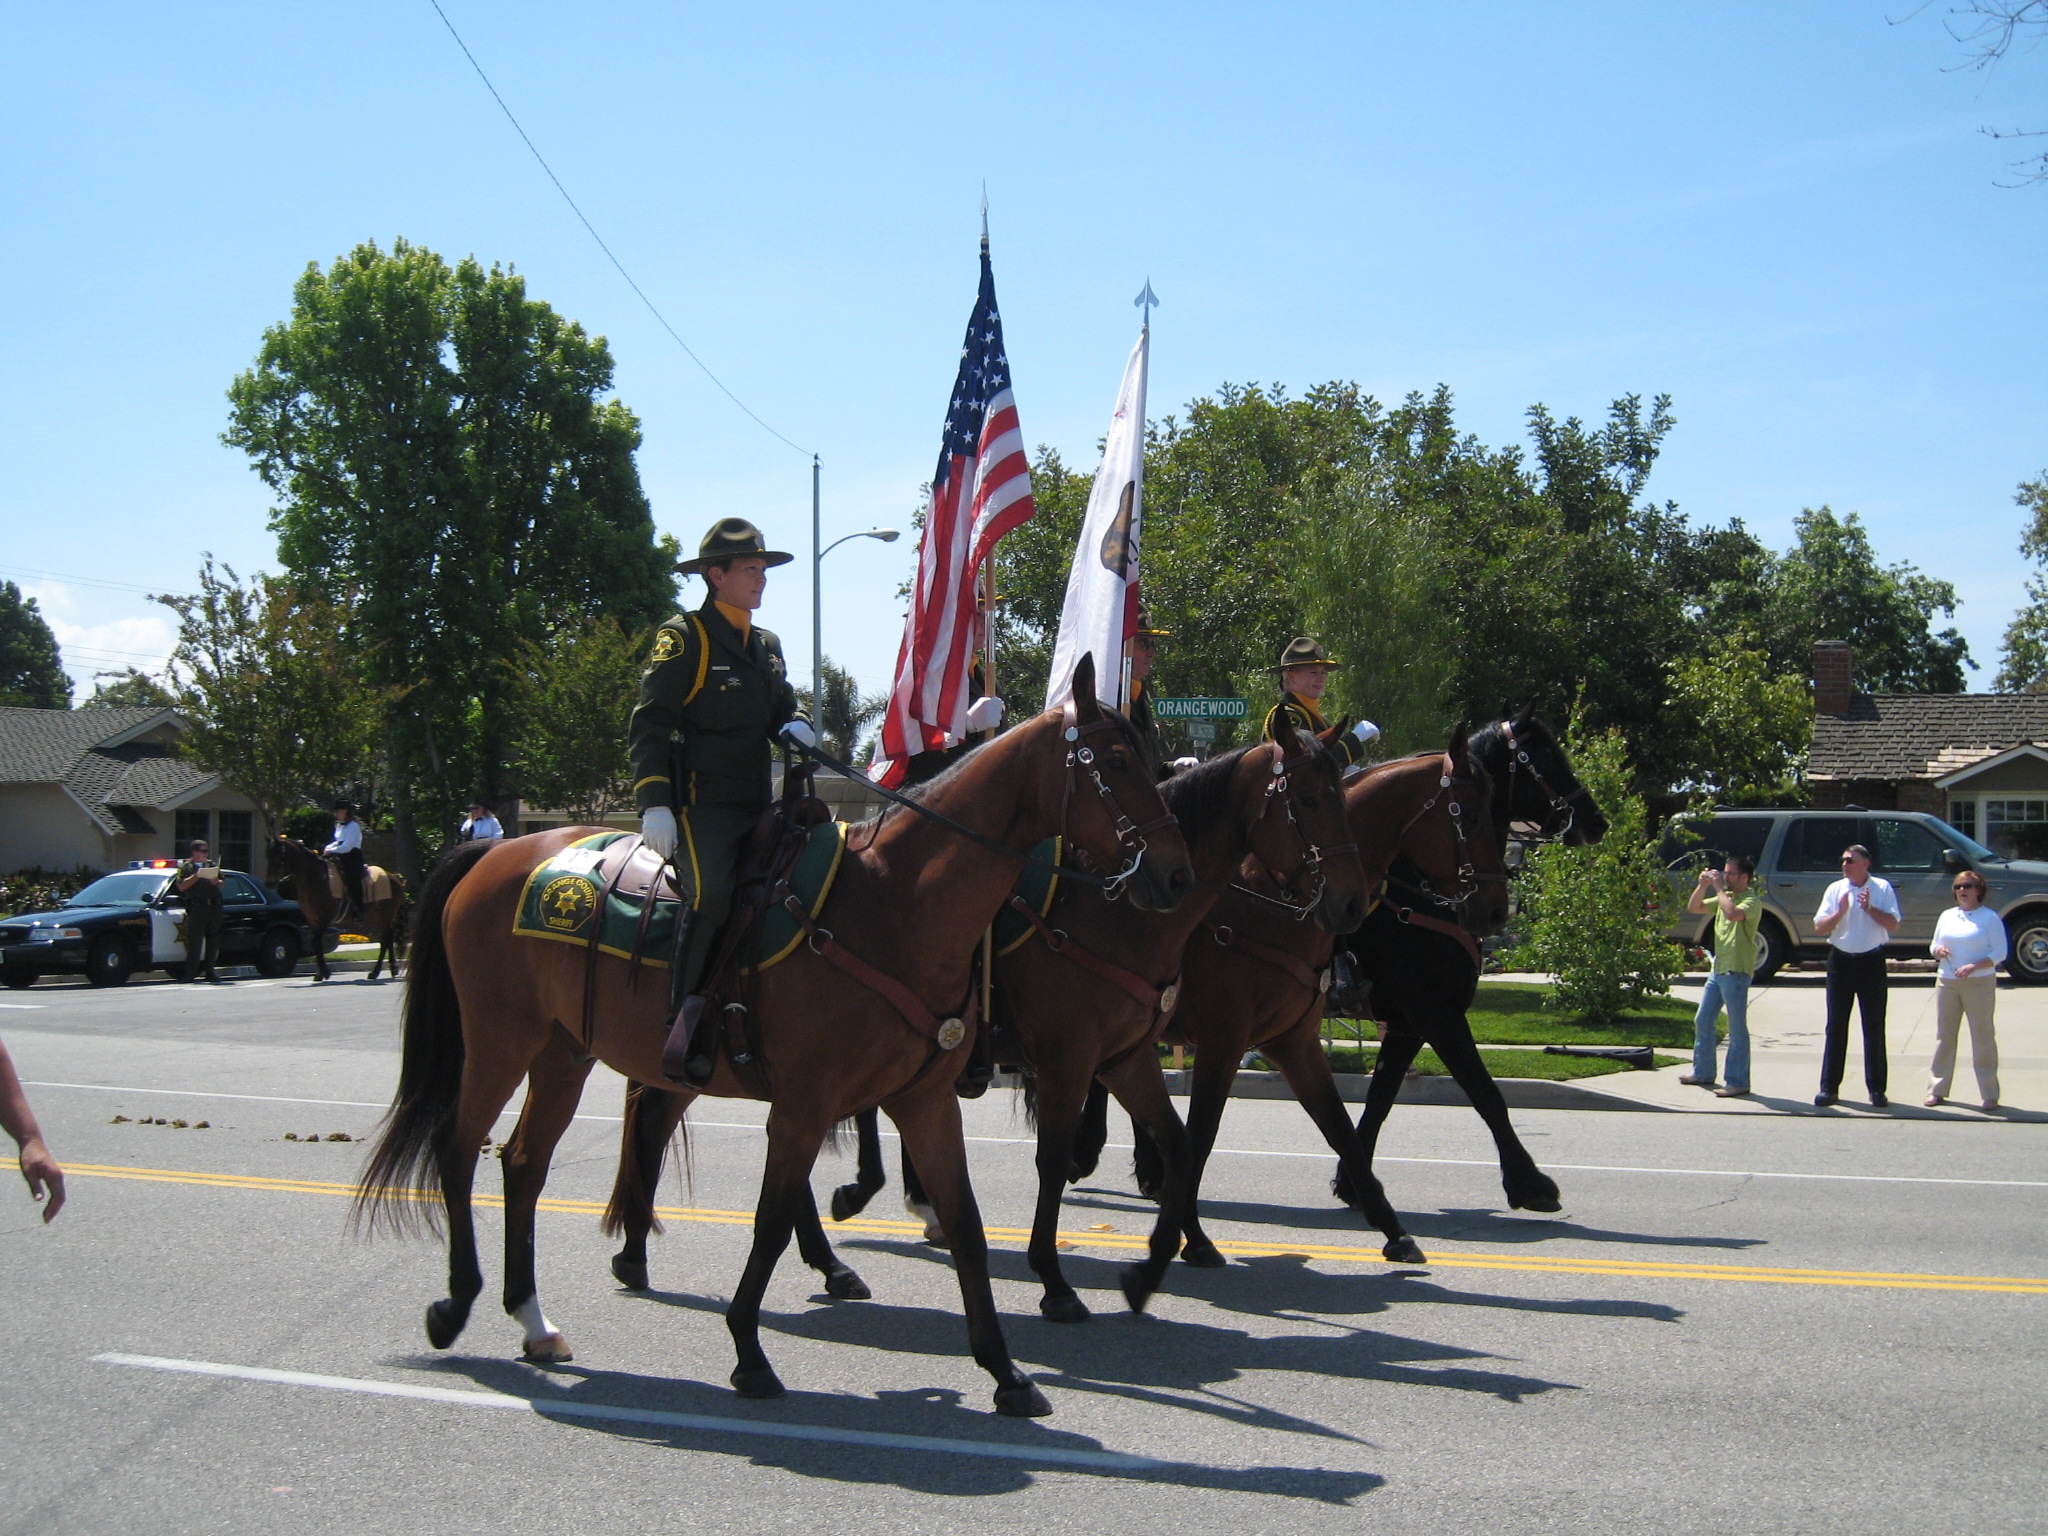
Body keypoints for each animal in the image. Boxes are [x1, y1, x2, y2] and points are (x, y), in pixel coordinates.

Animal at [266, 835, 405, 978]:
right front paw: (321, 973)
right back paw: (392, 969)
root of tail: (395, 878)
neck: (317, 879)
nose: (269, 883)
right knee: (389, 937)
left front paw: (324, 972)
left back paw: (376, 972)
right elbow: (317, 943)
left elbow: (316, 942)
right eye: (268, 856)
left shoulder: (324, 917)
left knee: (386, 939)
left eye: (281, 856)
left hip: (385, 915)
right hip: (376, 916)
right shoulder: (312, 918)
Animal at [356, 655, 1196, 1425]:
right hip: (502, 1040)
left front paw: (1005, 1370)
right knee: (460, 1149)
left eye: (1151, 760)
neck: (894, 902)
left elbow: (964, 1223)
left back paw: (534, 1318)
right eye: (1116, 762)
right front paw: (750, 1352)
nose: (1174, 877)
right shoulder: (812, 1101)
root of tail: (497, 851)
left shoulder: (928, 1097)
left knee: (526, 1164)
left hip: (565, 1052)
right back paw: (457, 1304)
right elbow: (768, 1219)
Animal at [606, 716, 1376, 1327]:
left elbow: (1199, 1141)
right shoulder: (1085, 1055)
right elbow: (1059, 1160)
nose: (1351, 903)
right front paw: (1056, 1277)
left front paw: (1156, 1263)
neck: (1113, 911)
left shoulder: (1137, 1053)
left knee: (668, 1112)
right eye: (1311, 798)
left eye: (1346, 799)